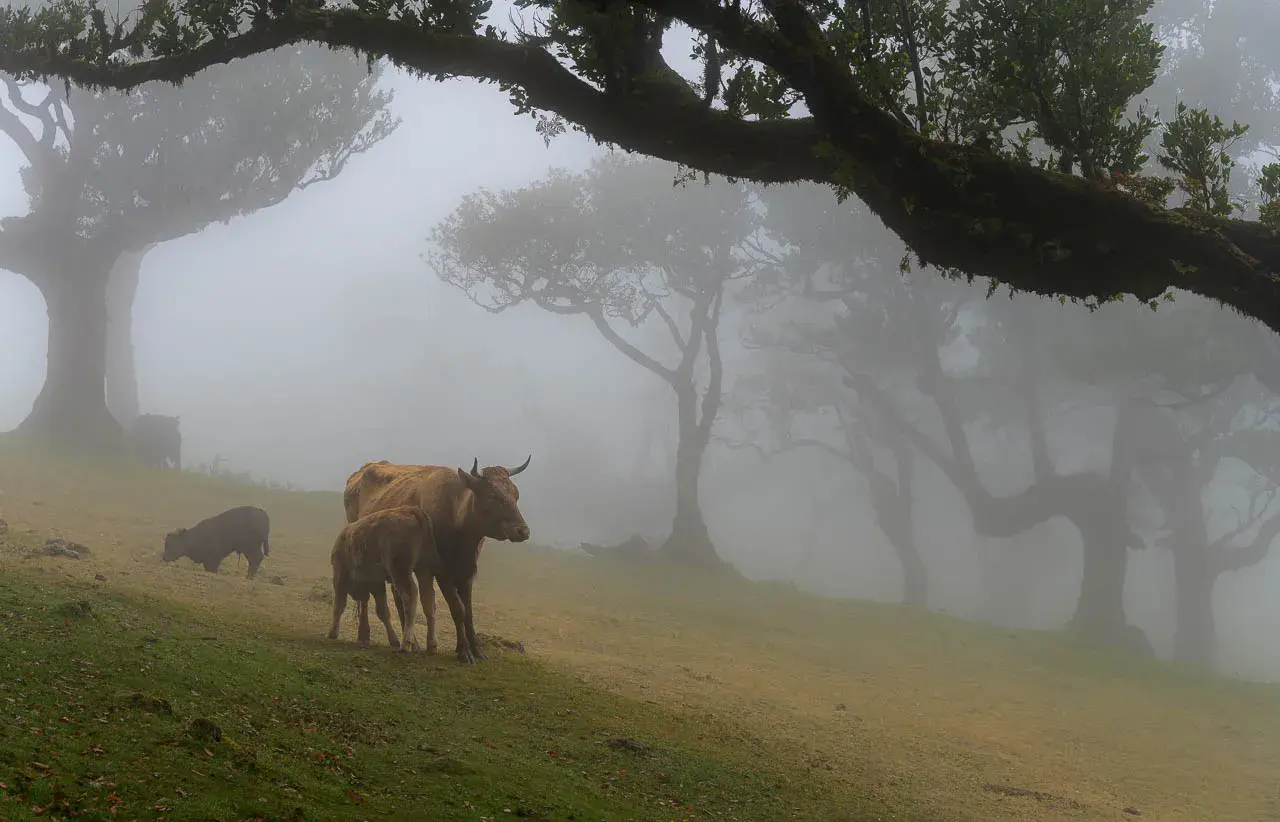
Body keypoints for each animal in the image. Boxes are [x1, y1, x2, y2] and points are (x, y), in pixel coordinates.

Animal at [342, 455, 531, 663]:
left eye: (516, 494)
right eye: (492, 495)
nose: (523, 530)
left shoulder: (466, 572)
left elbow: (468, 612)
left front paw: (475, 651)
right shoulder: (443, 572)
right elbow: (457, 609)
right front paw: (464, 652)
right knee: (367, 596)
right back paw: (365, 635)